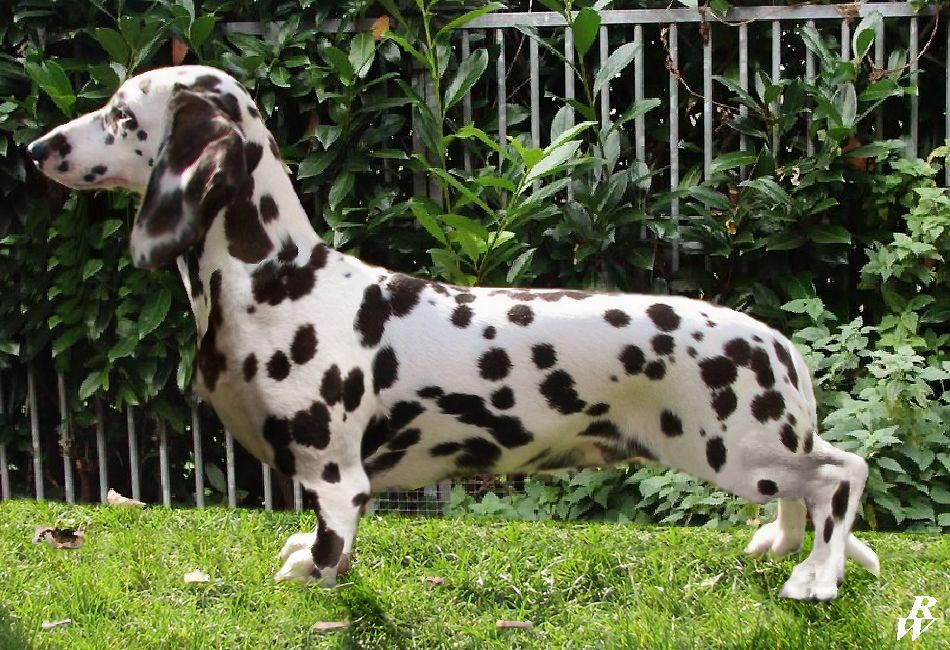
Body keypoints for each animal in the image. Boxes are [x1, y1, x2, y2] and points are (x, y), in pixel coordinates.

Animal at [26, 66, 880, 596]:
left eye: (122, 115)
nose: (35, 148)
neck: (278, 278)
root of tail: (776, 343)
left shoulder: (334, 471)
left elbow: (333, 539)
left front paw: (315, 572)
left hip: (736, 451)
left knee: (842, 473)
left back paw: (816, 576)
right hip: (758, 456)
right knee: (811, 489)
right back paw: (781, 545)